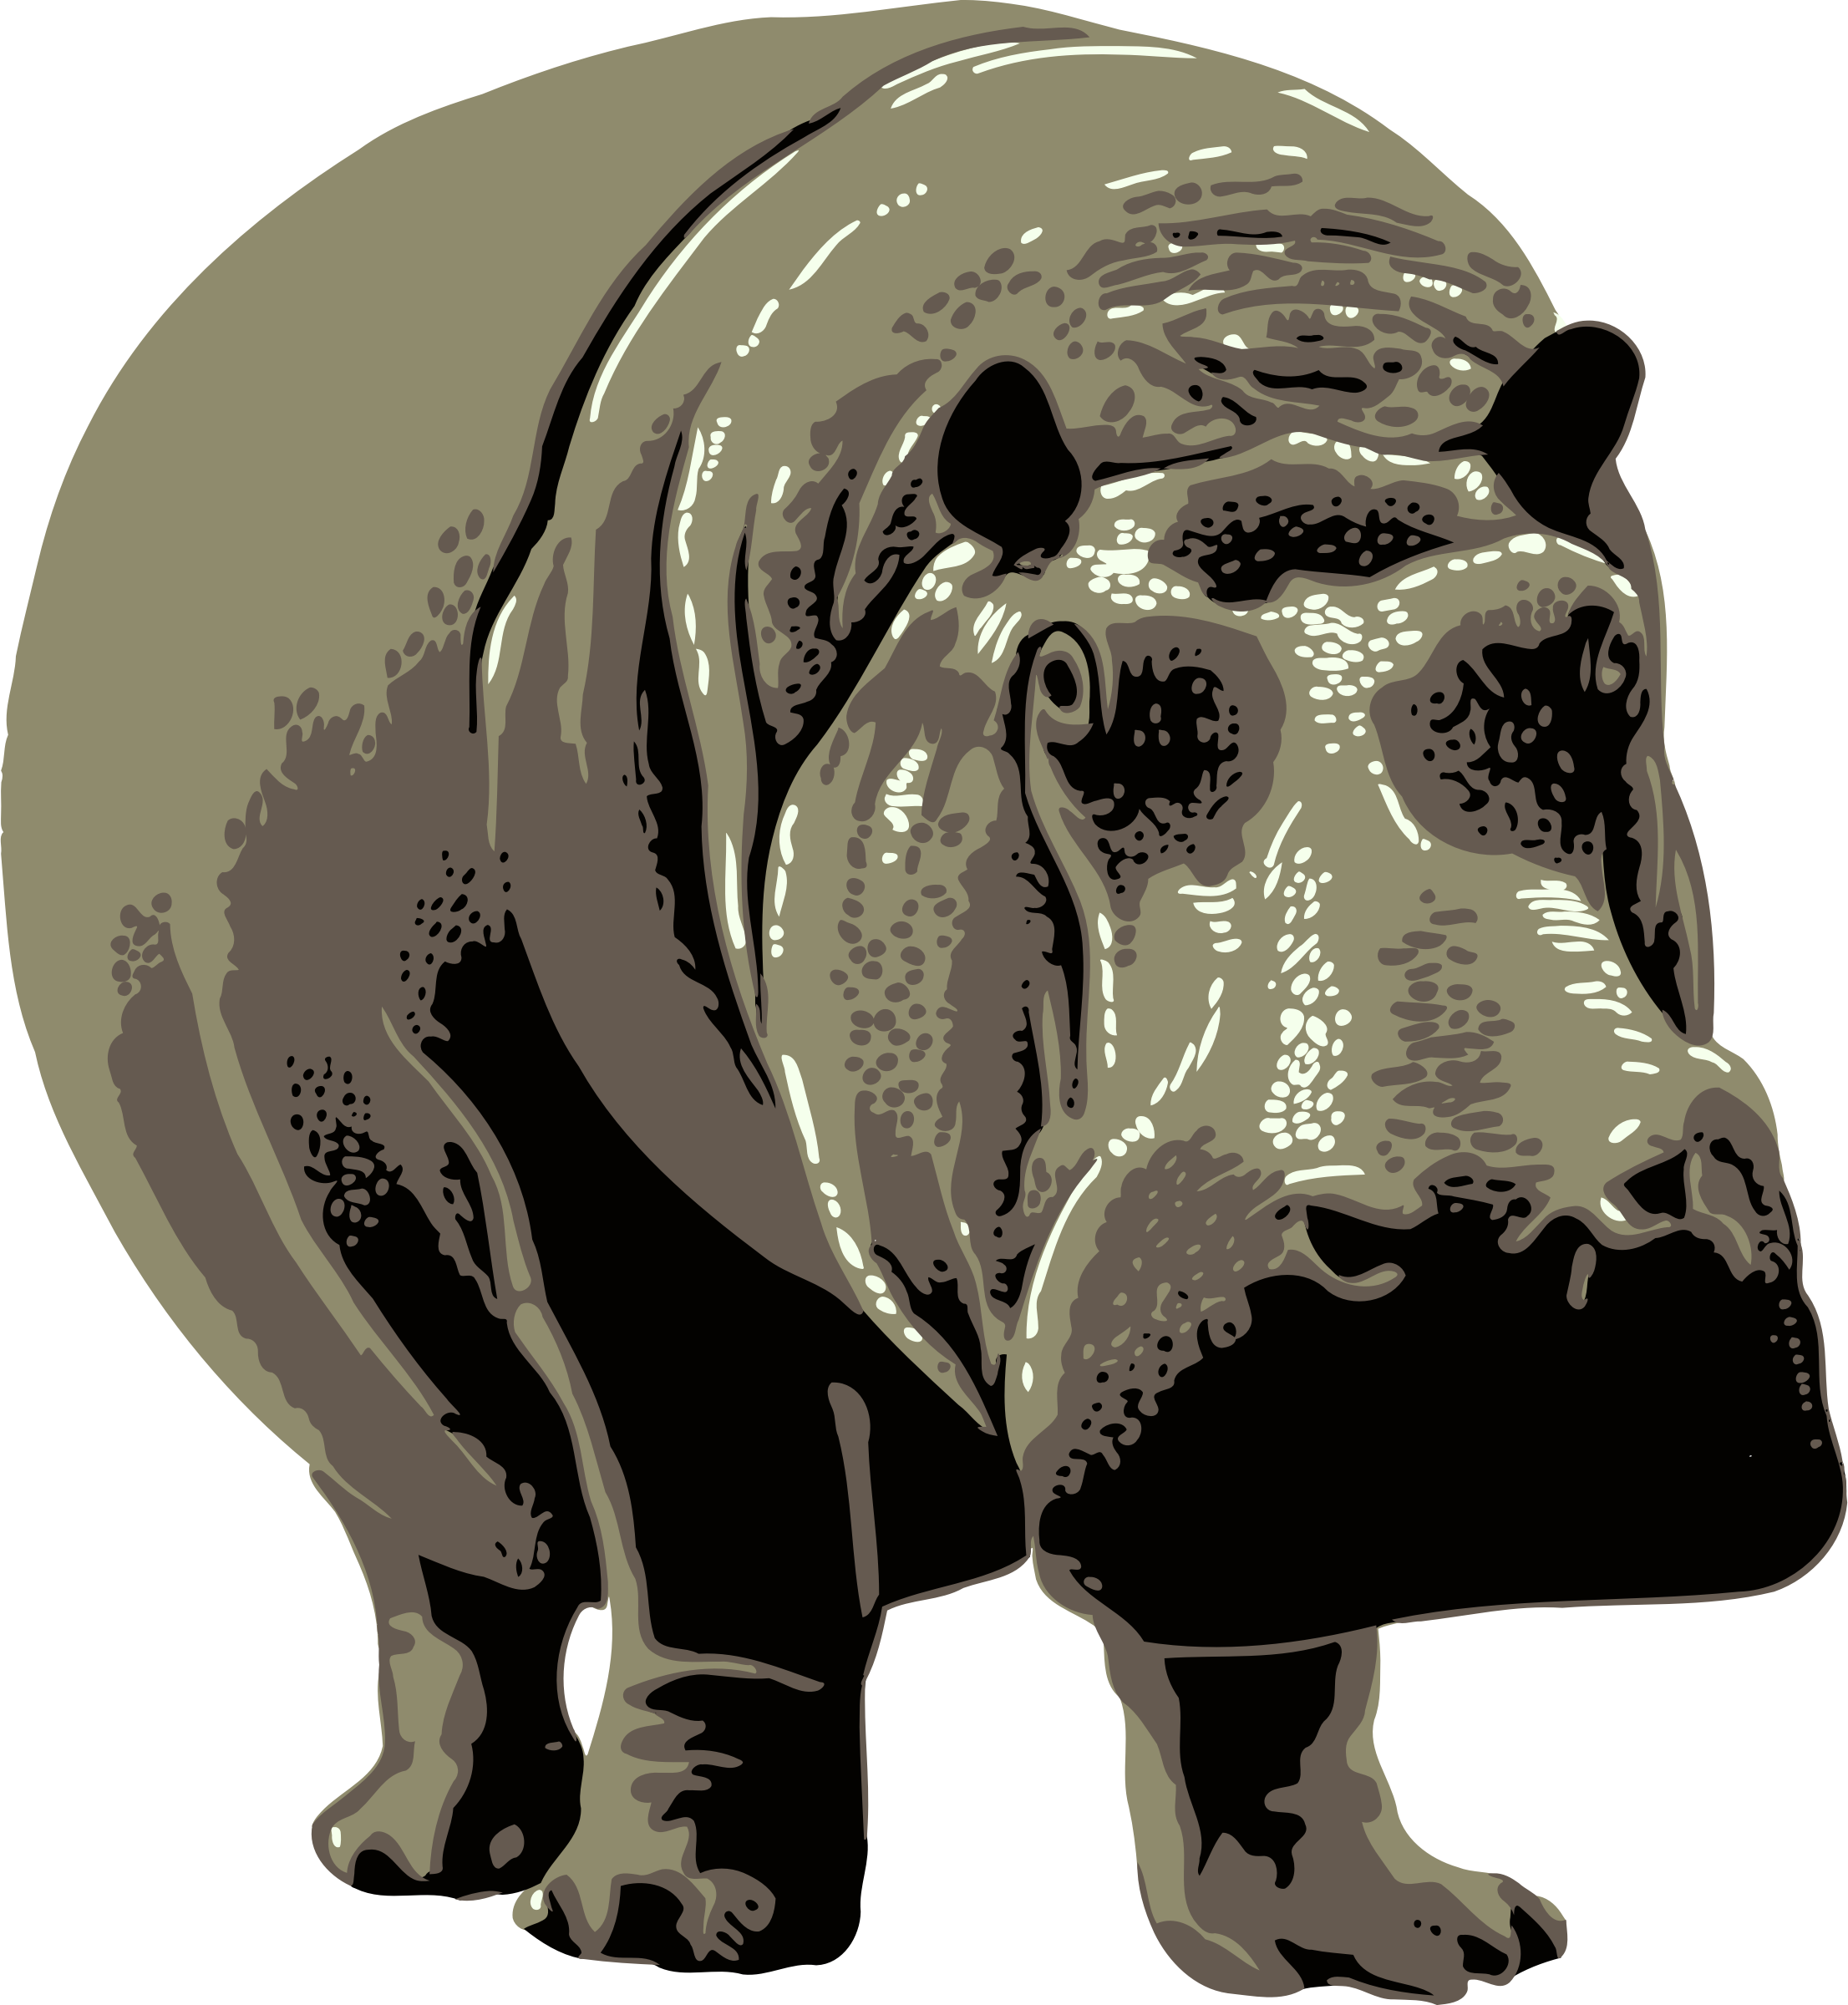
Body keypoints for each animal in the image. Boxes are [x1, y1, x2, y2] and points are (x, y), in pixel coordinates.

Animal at [20, 15, 1839, 1995]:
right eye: (1062, 683)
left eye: (1606, 646)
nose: (1502, 1230)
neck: (1237, 359)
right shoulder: (602, 1191)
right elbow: (723, 1539)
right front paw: (676, 1928)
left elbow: (1273, 1669)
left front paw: (1398, 1948)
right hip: (335, 1355)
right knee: (457, 1570)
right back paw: (412, 1860)